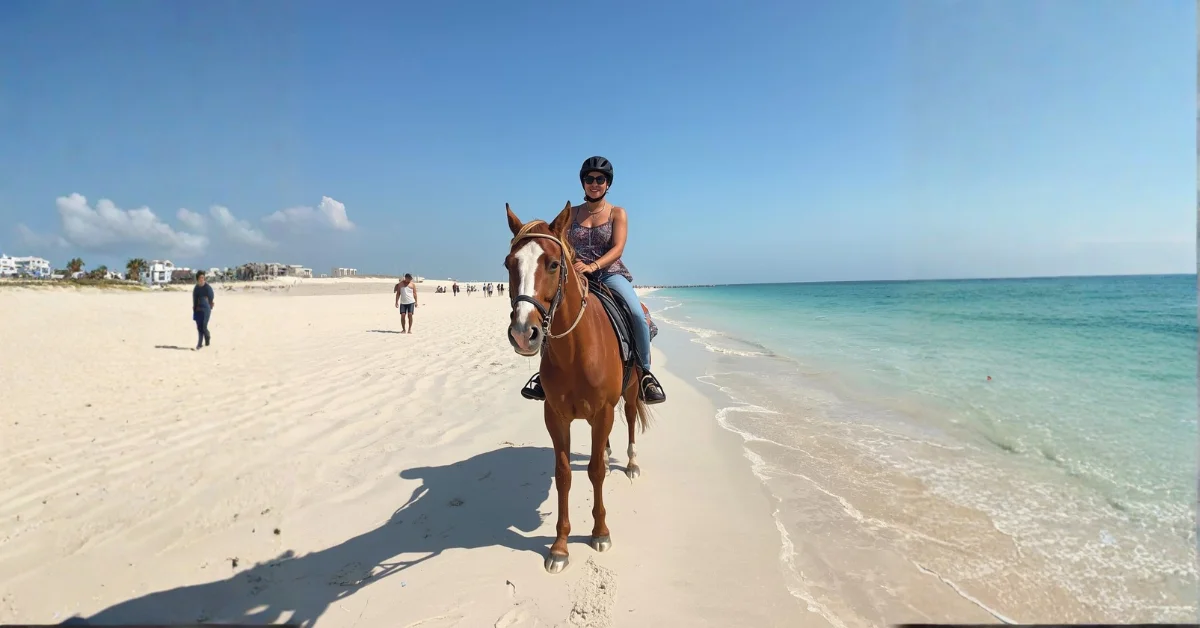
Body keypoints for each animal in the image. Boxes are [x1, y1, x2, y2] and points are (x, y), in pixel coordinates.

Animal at [504, 201, 652, 574]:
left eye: (553, 264)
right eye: (509, 264)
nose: (523, 333)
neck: (575, 350)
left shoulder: (602, 412)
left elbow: (596, 472)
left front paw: (600, 532)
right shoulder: (555, 415)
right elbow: (564, 474)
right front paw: (559, 546)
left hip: (630, 393)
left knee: (630, 419)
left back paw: (630, 463)